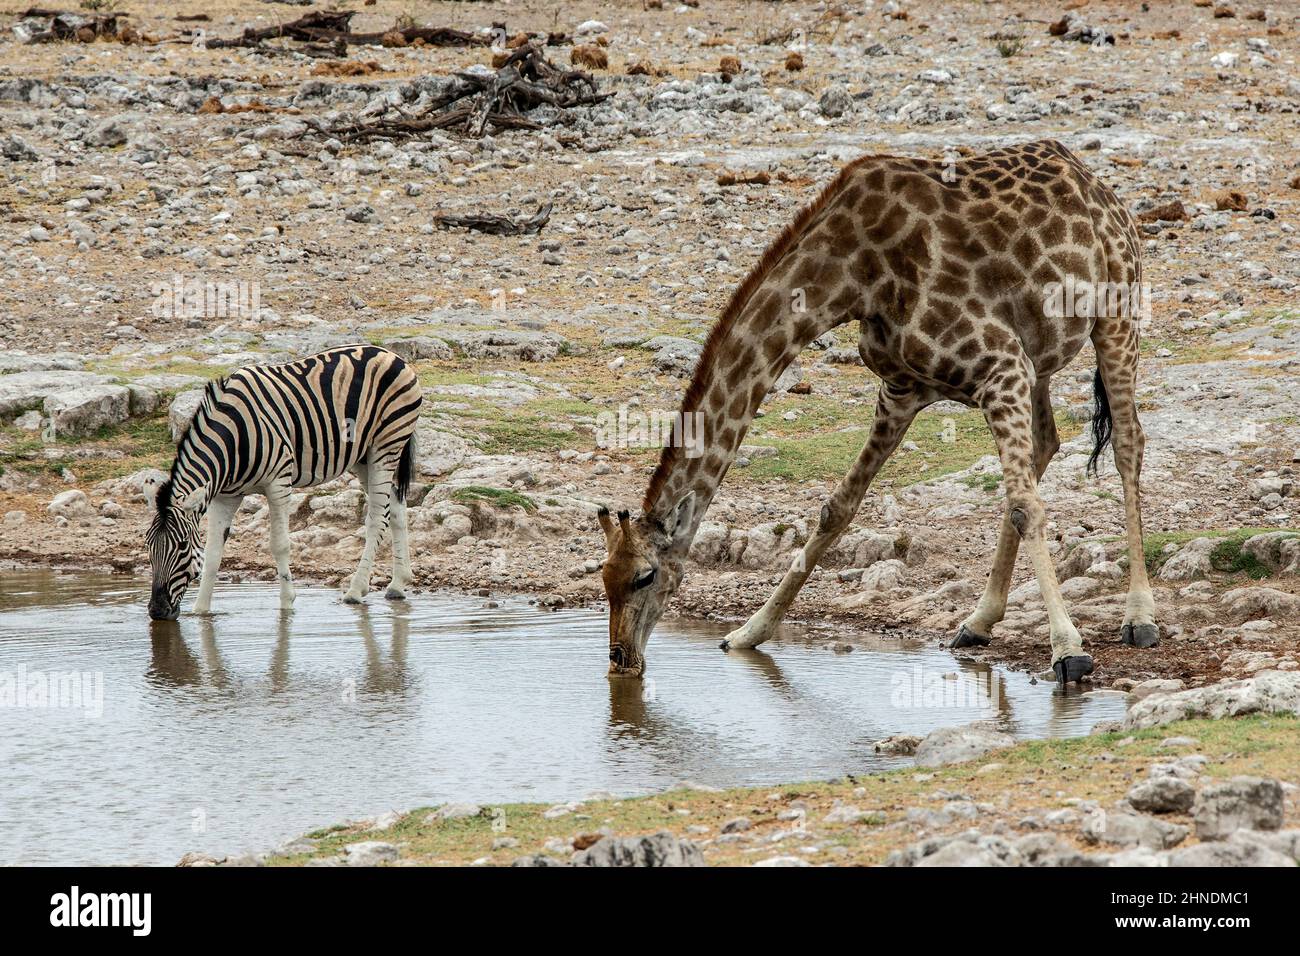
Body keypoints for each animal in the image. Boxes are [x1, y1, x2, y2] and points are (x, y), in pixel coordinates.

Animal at [145, 344, 422, 620]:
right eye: (148, 544)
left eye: (182, 546)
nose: (157, 611)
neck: (232, 439)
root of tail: (388, 353)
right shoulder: (224, 496)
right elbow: (212, 553)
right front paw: (202, 611)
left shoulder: (278, 482)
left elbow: (279, 545)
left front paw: (287, 603)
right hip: (363, 457)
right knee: (395, 507)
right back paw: (398, 584)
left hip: (386, 445)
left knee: (377, 517)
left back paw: (355, 590)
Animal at [597, 140, 1158, 688]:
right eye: (602, 575)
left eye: (645, 575)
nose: (622, 659)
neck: (851, 277)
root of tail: (1094, 182)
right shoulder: (903, 389)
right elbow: (837, 508)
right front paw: (748, 633)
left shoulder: (1000, 364)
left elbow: (1026, 507)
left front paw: (1069, 650)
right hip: (1038, 356)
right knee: (1047, 441)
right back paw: (978, 622)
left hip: (1116, 311)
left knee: (1128, 441)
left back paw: (1139, 617)